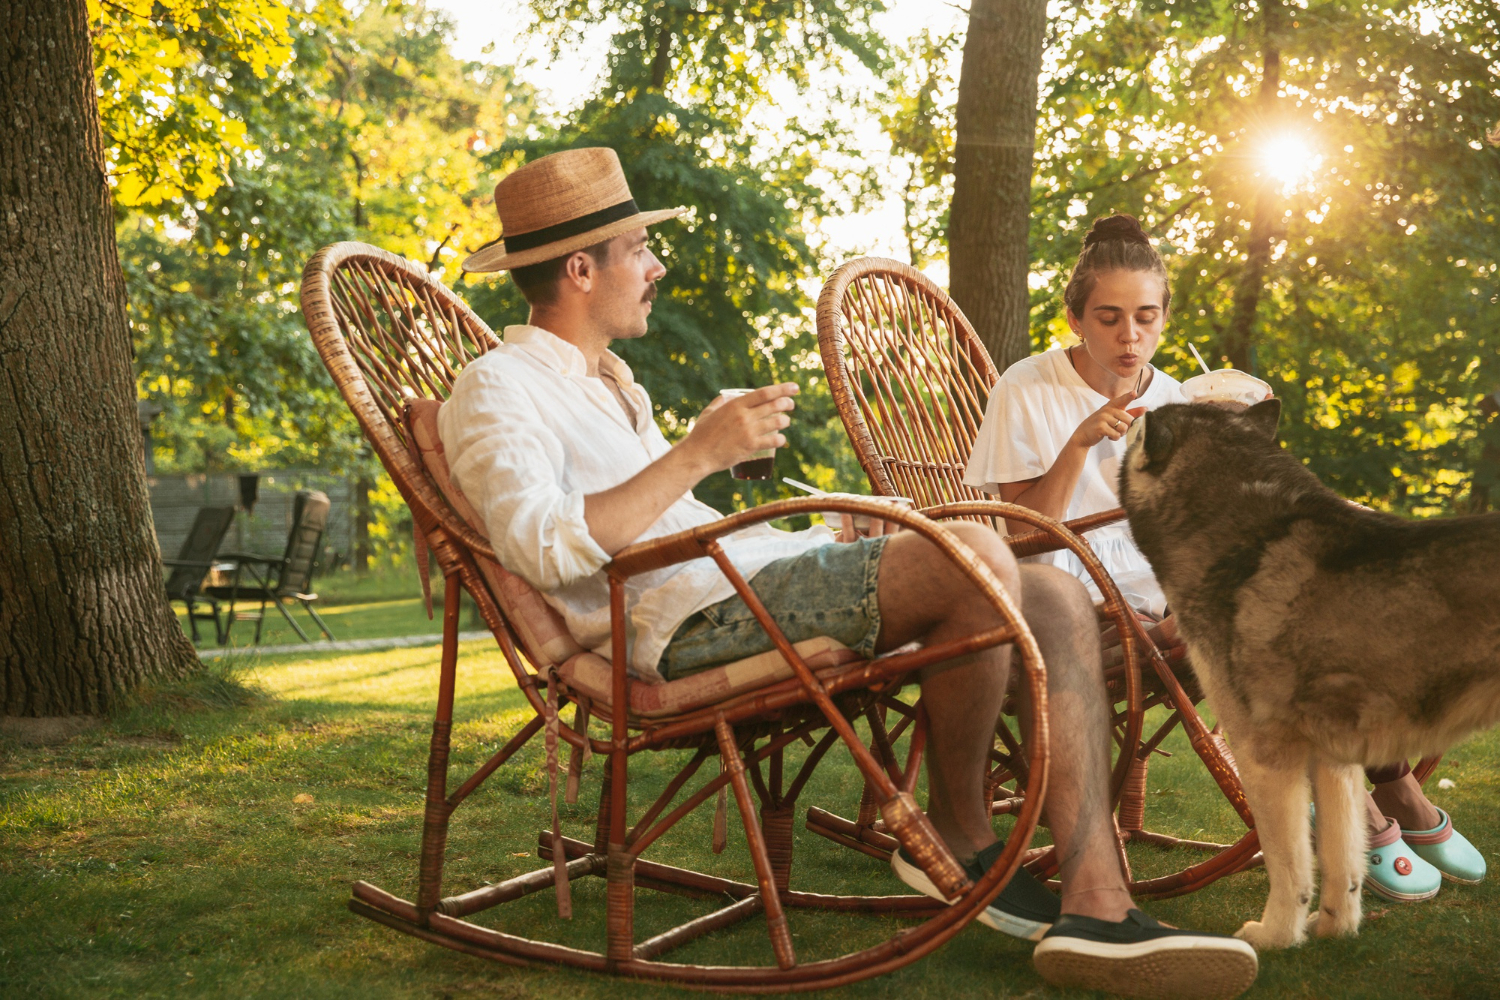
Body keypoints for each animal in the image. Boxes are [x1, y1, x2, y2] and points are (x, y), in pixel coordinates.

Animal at [1122, 401, 1494, 953]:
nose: (1126, 411)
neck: (1247, 537)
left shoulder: (1264, 754)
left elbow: (1289, 862)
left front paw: (1276, 935)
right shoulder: (1334, 760)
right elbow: (1343, 860)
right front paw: (1334, 927)